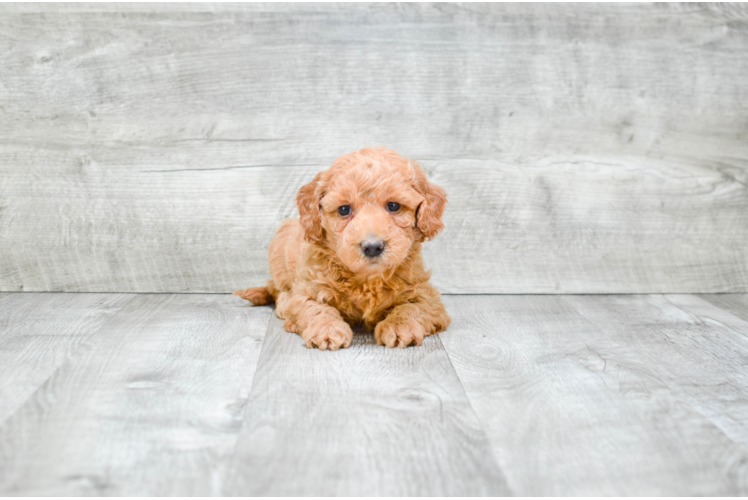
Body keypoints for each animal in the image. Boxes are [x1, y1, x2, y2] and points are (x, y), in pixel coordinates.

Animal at [235, 147, 450, 352]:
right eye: (344, 210)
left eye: (394, 206)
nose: (372, 247)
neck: (367, 280)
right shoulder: (308, 289)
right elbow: (315, 308)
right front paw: (327, 330)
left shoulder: (427, 296)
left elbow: (411, 308)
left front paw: (399, 327)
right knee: (278, 292)